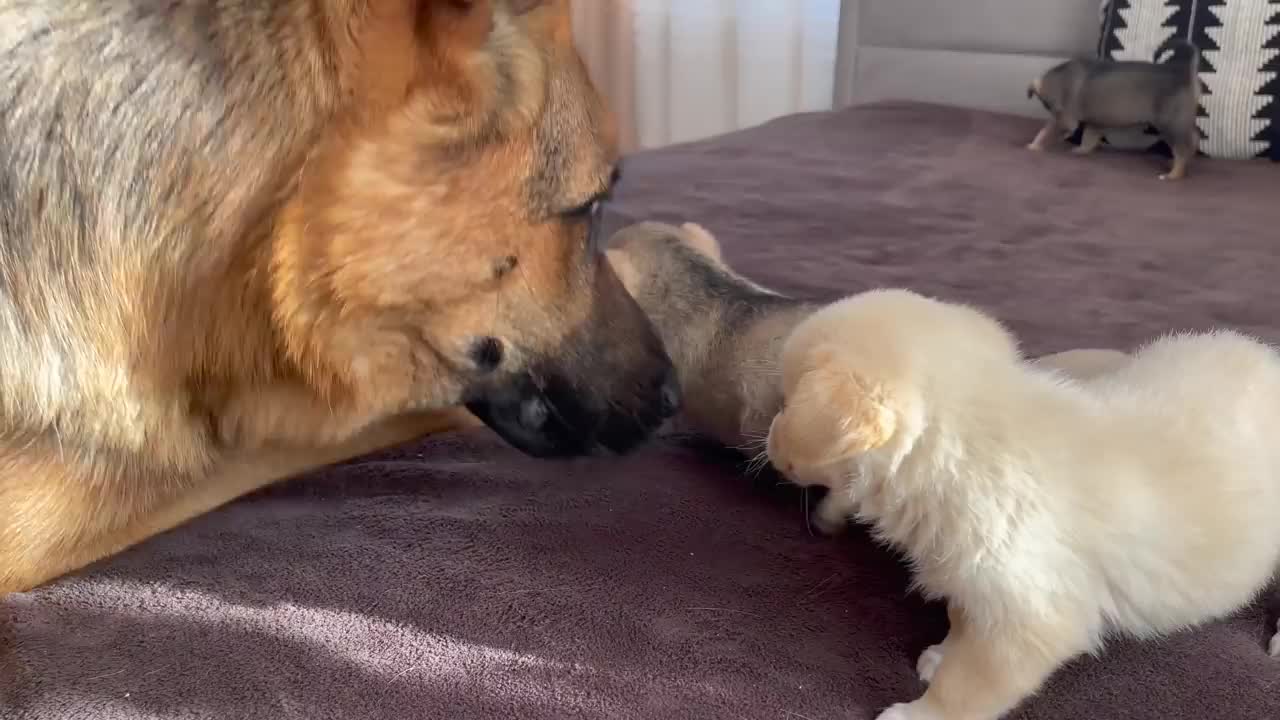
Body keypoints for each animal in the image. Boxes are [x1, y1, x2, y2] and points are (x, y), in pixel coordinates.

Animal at [762, 286, 1274, 717]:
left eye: (785, 405)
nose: (767, 436)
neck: (960, 450)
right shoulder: (969, 575)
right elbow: (961, 619)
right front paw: (944, 652)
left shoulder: (1029, 618)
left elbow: (967, 686)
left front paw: (919, 713)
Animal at [1024, 37, 1203, 180]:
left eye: (1050, 106)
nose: (1067, 134)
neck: (1058, 78)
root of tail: (1183, 71)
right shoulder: (1094, 123)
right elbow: (1088, 138)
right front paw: (1082, 150)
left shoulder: (1065, 119)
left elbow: (1045, 132)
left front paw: (1035, 146)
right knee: (1193, 140)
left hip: (1170, 124)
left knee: (1182, 148)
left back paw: (1174, 174)